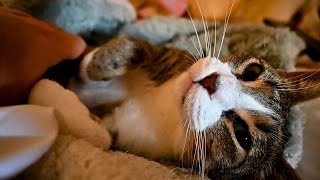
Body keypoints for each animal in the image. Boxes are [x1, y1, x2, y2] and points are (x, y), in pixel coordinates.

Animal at [62, 35, 320, 179]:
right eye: (252, 71)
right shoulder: (174, 57)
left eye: (242, 135)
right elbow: (135, 47)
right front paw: (93, 64)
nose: (211, 82)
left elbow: (105, 137)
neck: (167, 110)